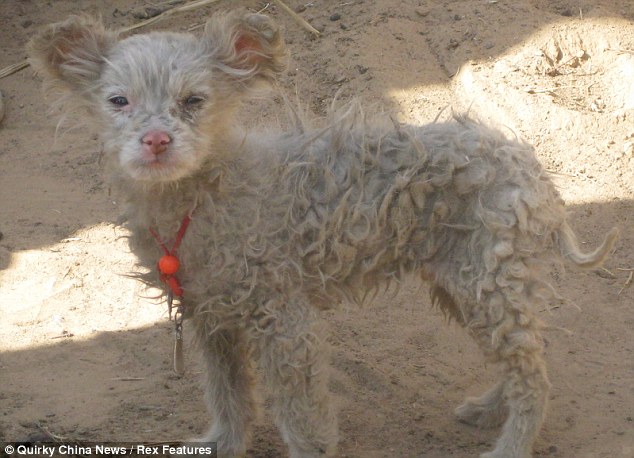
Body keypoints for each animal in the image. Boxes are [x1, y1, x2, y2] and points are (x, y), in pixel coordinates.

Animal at [29, 10, 616, 458]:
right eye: (118, 102)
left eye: (194, 100)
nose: (155, 141)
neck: (205, 199)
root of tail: (529, 165)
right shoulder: (211, 317)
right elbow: (228, 395)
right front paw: (223, 444)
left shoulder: (285, 321)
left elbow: (302, 419)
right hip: (464, 285)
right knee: (524, 361)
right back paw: (487, 408)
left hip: (485, 280)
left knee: (534, 378)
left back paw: (509, 445)